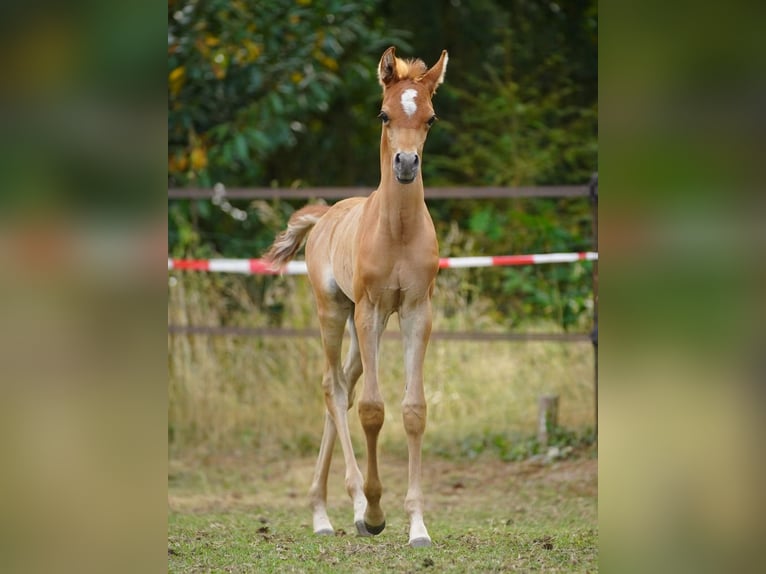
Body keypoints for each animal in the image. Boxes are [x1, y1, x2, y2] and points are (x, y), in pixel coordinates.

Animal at [263, 46, 448, 548]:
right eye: (384, 113)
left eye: (431, 117)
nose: (406, 164)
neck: (398, 230)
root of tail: (325, 215)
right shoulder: (370, 309)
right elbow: (371, 409)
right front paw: (376, 510)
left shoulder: (416, 311)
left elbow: (413, 410)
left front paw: (417, 525)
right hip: (335, 311)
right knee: (334, 387)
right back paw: (342, 509)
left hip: (366, 322)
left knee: (342, 389)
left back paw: (329, 510)